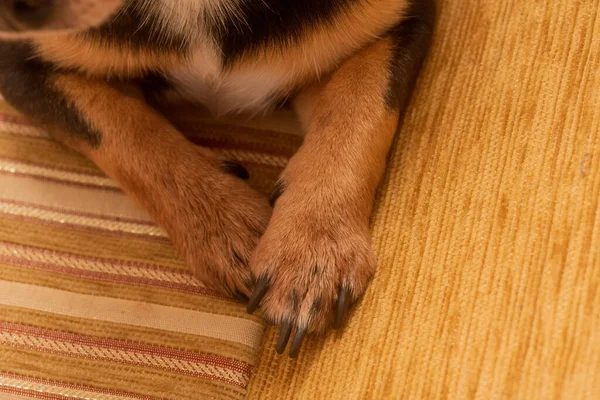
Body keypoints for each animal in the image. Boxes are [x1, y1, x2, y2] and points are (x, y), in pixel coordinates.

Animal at [0, 0, 434, 356]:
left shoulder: (399, 21)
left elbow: (359, 109)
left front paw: (314, 247)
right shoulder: (18, 63)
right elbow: (121, 128)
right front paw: (225, 229)